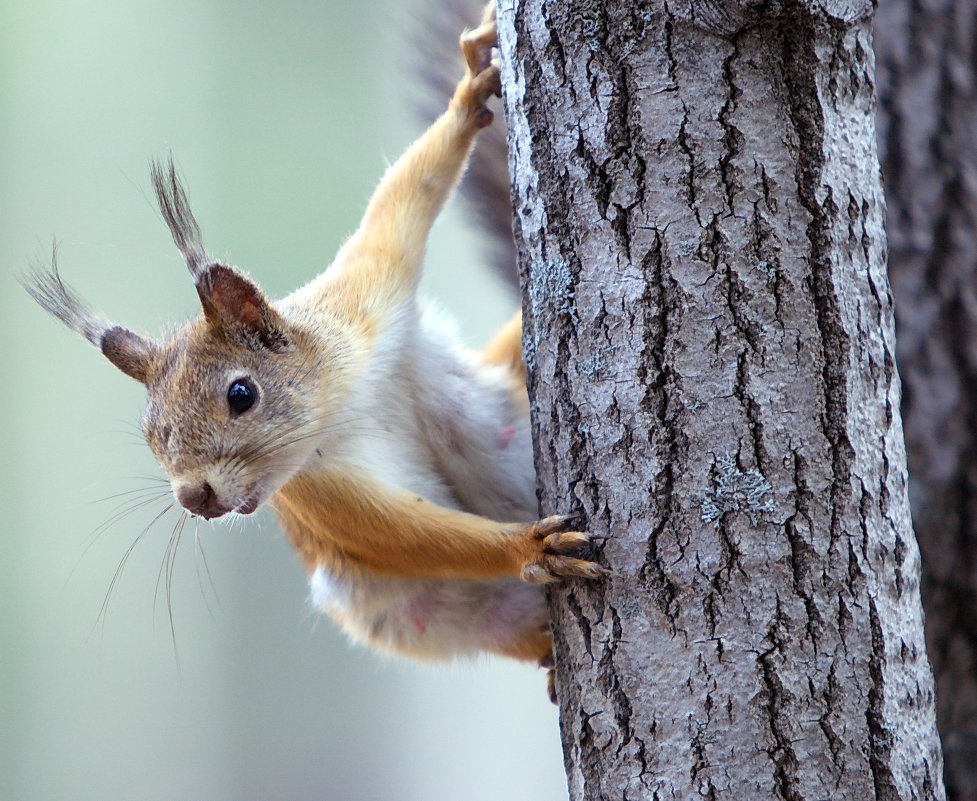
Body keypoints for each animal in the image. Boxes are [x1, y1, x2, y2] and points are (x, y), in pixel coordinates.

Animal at [24, 3, 604, 696]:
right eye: (151, 434)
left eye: (241, 394)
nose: (194, 498)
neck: (341, 397)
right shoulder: (318, 491)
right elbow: (404, 535)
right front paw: (525, 549)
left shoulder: (368, 288)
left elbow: (410, 191)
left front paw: (470, 93)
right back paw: (544, 650)